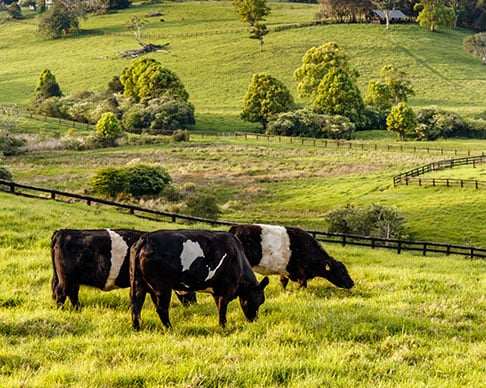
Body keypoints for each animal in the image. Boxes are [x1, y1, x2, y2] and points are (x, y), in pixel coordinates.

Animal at [50, 230, 196, 310]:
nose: (194, 303)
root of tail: (62, 232)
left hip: (70, 279)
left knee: (70, 292)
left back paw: (77, 309)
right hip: (66, 278)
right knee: (61, 292)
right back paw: (62, 309)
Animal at [129, 229, 270, 328]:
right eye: (259, 300)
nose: (254, 320)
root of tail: (145, 238)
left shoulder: (217, 290)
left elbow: (219, 307)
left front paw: (222, 325)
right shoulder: (227, 289)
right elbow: (222, 308)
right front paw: (223, 326)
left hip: (138, 283)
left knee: (136, 305)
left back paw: (137, 328)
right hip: (162, 286)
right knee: (161, 308)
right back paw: (170, 328)